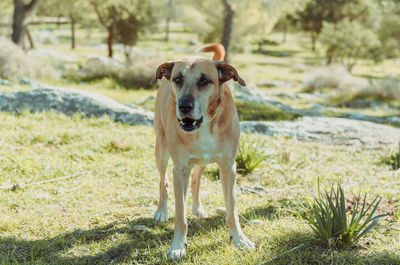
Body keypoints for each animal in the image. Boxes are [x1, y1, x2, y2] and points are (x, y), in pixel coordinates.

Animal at [152, 42, 255, 258]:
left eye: (205, 81)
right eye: (178, 79)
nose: (184, 106)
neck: (206, 124)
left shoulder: (228, 168)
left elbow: (232, 210)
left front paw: (239, 239)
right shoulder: (179, 169)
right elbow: (180, 216)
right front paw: (177, 246)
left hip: (202, 161)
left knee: (195, 180)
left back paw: (197, 207)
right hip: (162, 150)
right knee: (164, 182)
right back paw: (162, 211)